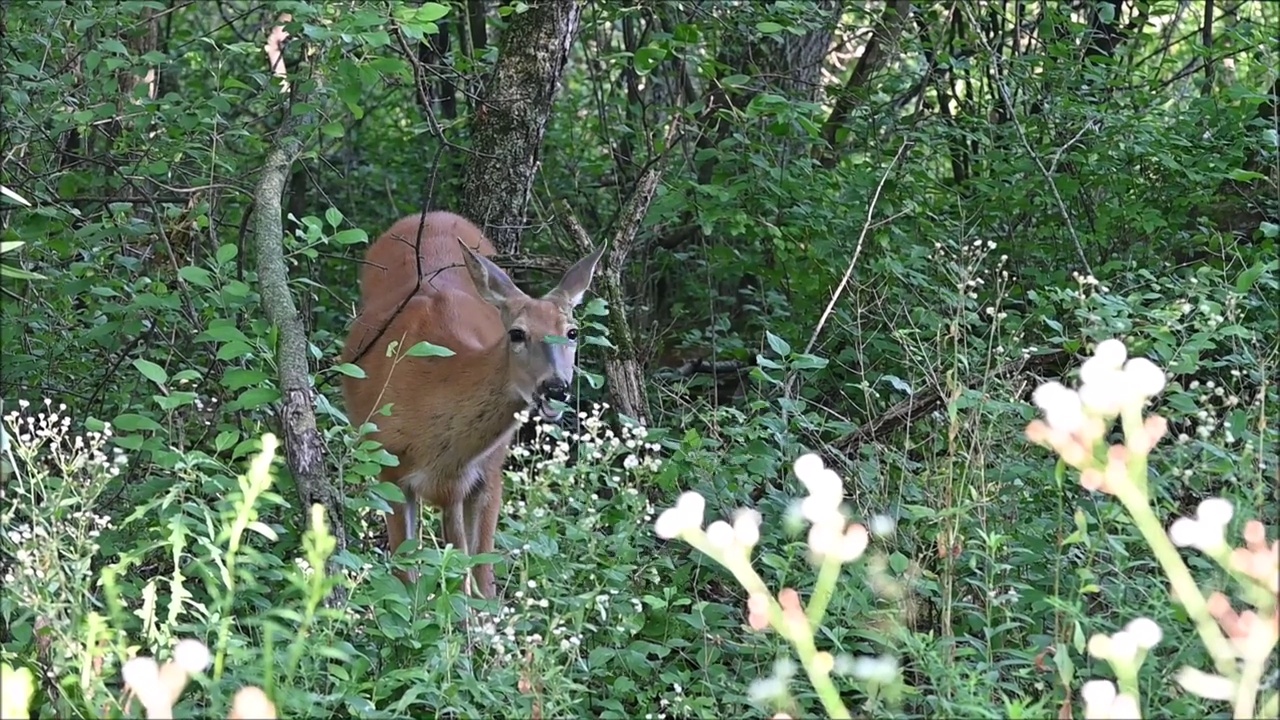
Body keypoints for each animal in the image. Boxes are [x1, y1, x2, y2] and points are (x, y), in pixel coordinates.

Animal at [337, 210, 601, 597]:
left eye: (572, 332)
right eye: (517, 333)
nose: (555, 388)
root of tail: (434, 214)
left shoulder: (487, 475)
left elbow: (480, 580)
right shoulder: (390, 467)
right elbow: (408, 577)